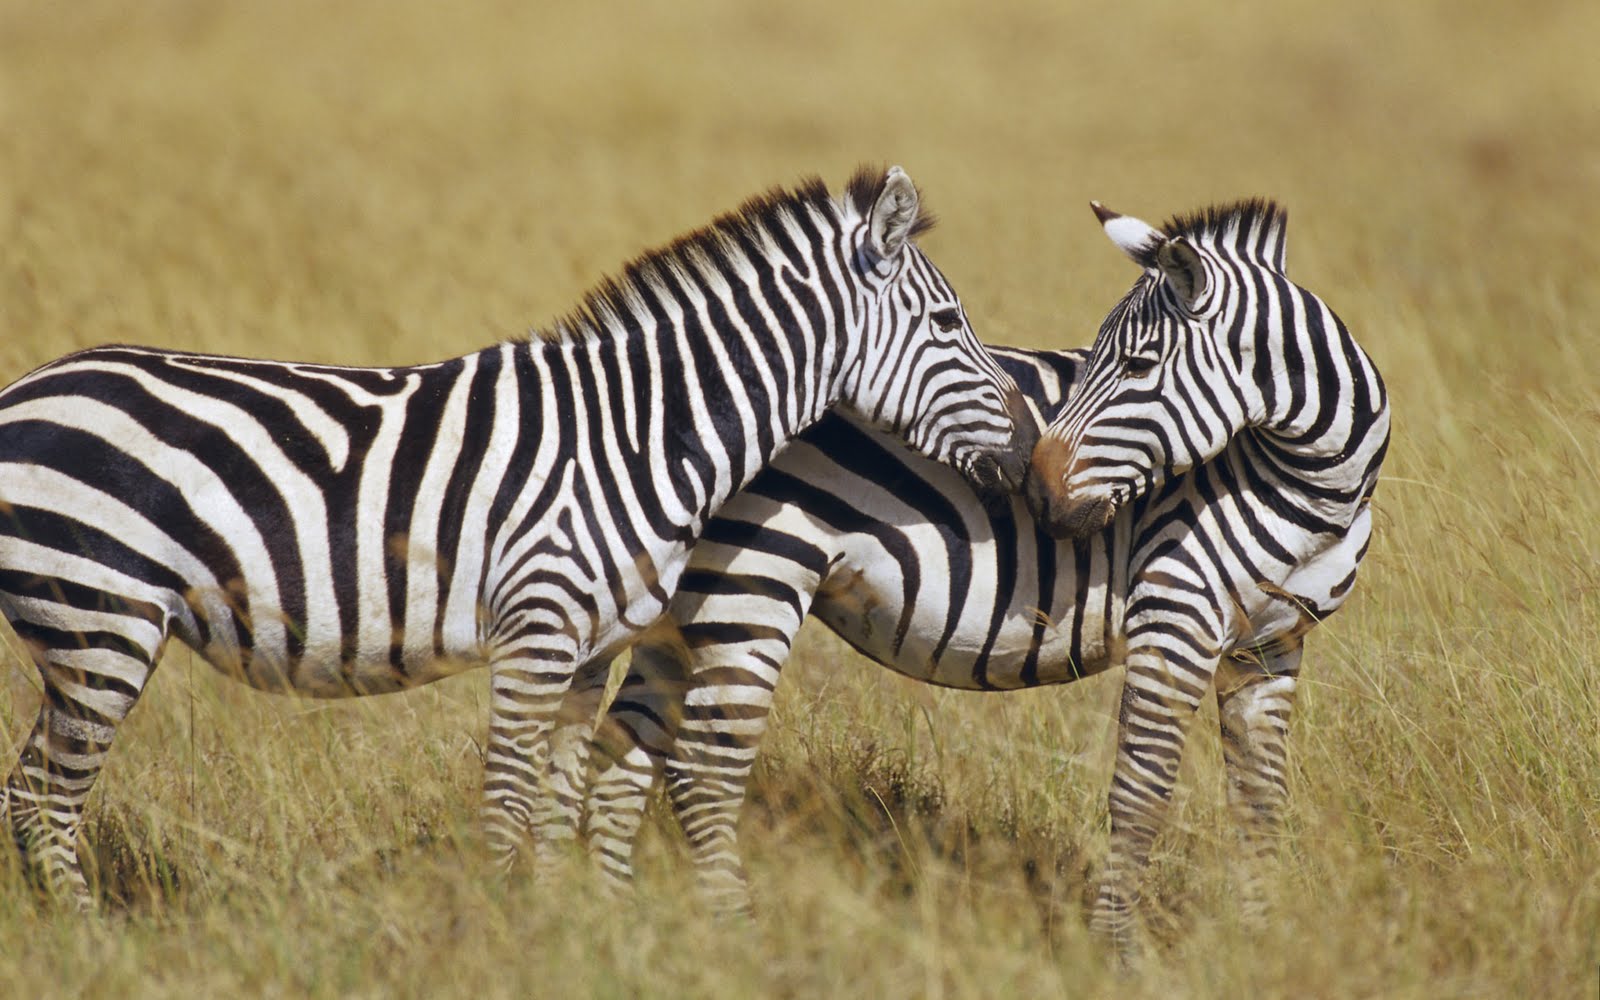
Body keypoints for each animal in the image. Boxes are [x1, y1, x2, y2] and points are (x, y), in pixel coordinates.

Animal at [0, 165, 1039, 907]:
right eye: (948, 320)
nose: (1034, 444)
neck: (640, 432)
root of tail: (26, 389)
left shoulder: (593, 647)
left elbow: (558, 803)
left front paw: (558, 929)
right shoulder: (536, 631)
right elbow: (507, 802)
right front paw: (510, 936)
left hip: (84, 633)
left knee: (29, 792)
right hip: (102, 621)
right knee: (46, 798)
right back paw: (90, 942)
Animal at [574, 198, 1389, 958]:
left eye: (1137, 367)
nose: (1040, 491)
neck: (1316, 487)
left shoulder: (1271, 646)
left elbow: (1261, 803)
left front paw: (1262, 941)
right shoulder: (1175, 615)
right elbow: (1143, 791)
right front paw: (1117, 950)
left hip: (681, 607)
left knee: (623, 750)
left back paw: (618, 919)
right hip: (753, 575)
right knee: (702, 770)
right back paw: (736, 938)